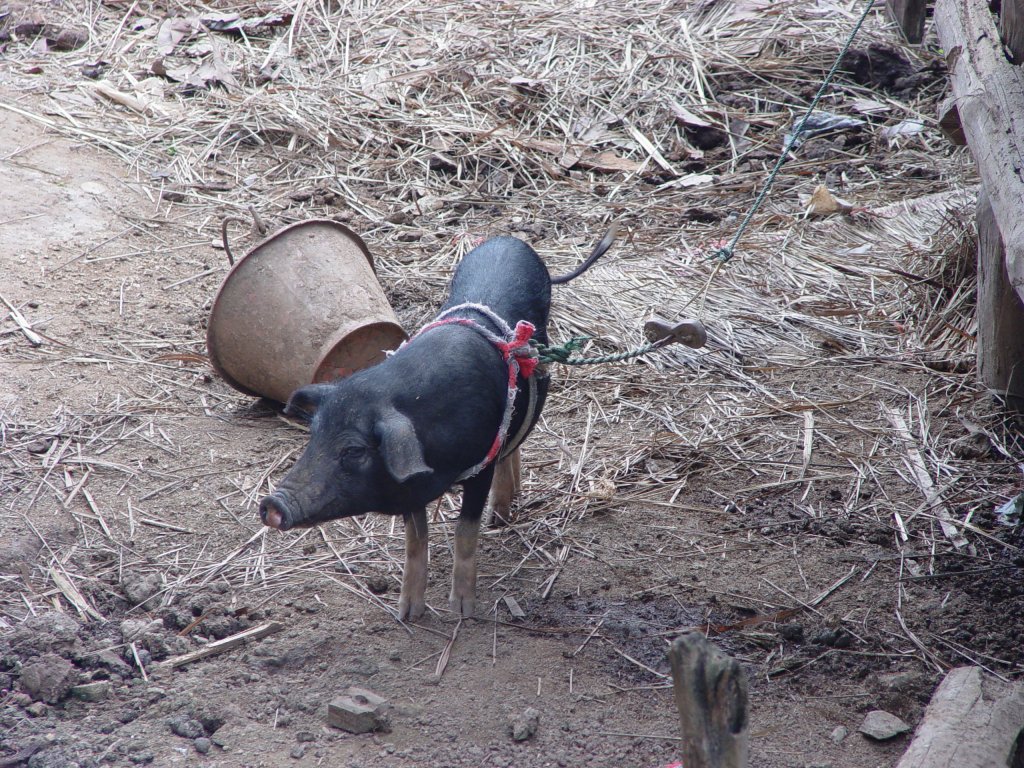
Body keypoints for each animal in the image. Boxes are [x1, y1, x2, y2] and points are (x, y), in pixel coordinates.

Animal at [264, 227, 614, 618]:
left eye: (353, 450)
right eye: (314, 434)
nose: (272, 504)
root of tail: (511, 240)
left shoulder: (479, 467)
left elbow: (465, 532)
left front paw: (462, 610)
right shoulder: (409, 485)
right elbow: (416, 542)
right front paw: (407, 614)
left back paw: (499, 519)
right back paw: (500, 517)